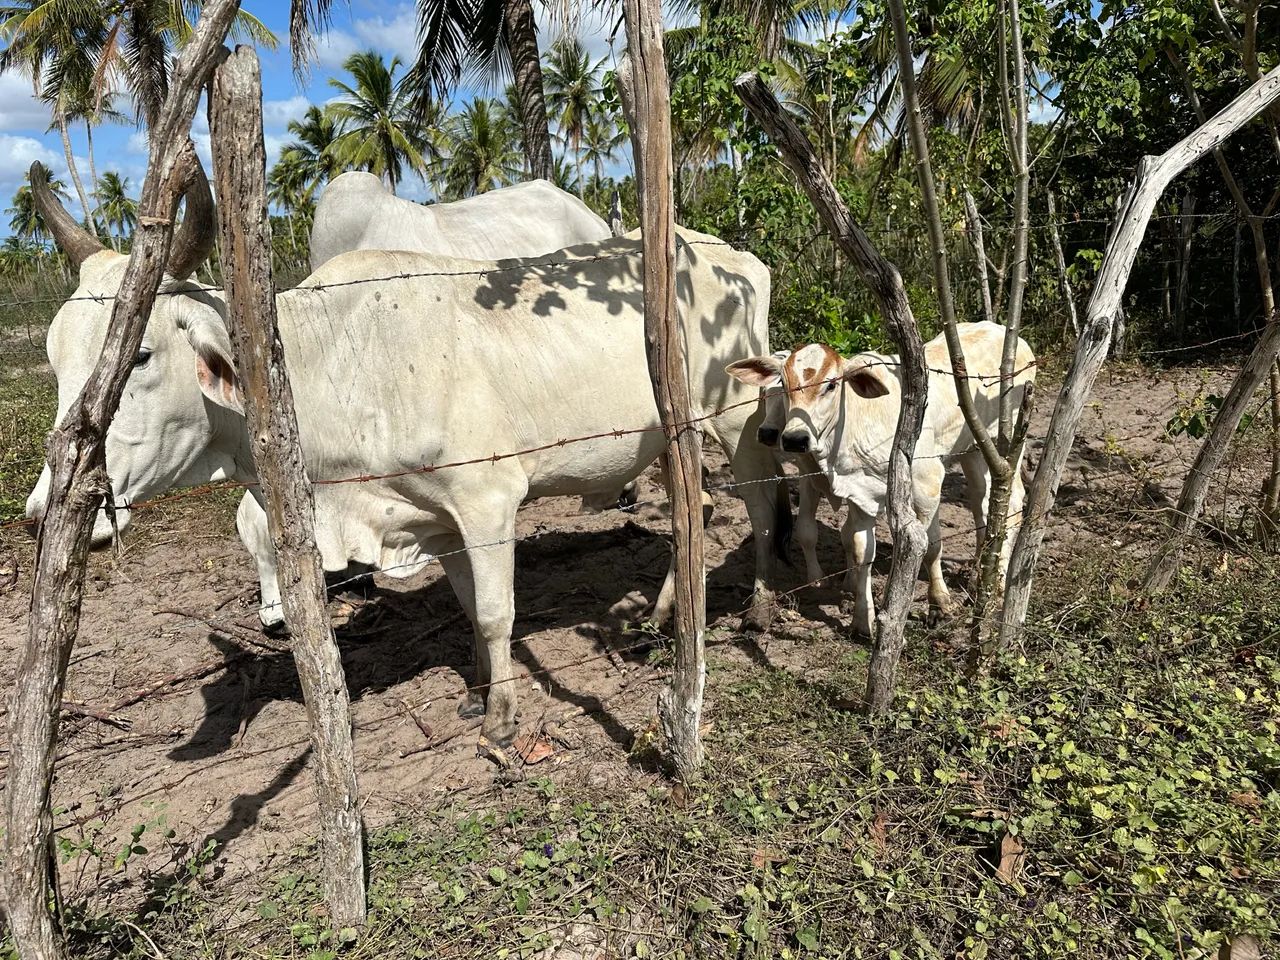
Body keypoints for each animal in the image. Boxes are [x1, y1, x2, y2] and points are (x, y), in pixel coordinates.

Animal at [24, 165, 789, 747]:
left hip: (736, 414)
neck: (328, 362)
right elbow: (469, 610)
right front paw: (478, 692)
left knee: (757, 497)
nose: (44, 510)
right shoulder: (434, 520)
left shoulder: (487, 501)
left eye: (140, 355)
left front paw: (502, 720)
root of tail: (729, 253)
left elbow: (496, 612)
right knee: (697, 507)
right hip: (671, 434)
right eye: (54, 357)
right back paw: (659, 617)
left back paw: (761, 606)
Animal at [729, 322, 1035, 636]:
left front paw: (938, 603)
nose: (794, 438)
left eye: (831, 385)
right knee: (981, 503)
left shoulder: (927, 485)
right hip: (973, 450)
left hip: (1008, 440)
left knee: (1011, 500)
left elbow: (930, 546)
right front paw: (863, 620)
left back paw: (999, 581)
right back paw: (979, 573)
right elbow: (861, 549)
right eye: (783, 383)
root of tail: (1004, 331)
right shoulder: (859, 494)